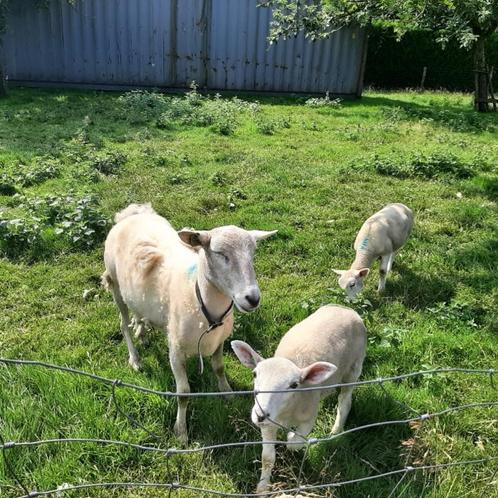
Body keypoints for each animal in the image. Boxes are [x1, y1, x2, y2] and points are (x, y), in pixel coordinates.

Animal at [103, 203, 278, 444]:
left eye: (253, 254)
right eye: (220, 254)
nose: (252, 298)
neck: (201, 301)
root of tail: (131, 214)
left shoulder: (219, 340)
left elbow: (219, 367)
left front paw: (227, 392)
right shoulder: (175, 350)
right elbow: (183, 393)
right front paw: (181, 431)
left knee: (138, 312)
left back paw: (143, 333)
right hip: (115, 286)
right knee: (123, 324)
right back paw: (135, 358)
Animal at [232, 304, 366, 490]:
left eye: (294, 385)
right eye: (254, 374)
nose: (260, 415)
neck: (287, 410)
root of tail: (345, 309)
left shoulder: (308, 419)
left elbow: (294, 444)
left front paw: (290, 436)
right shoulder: (268, 424)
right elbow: (267, 458)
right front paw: (263, 487)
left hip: (353, 368)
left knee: (345, 401)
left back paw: (336, 430)